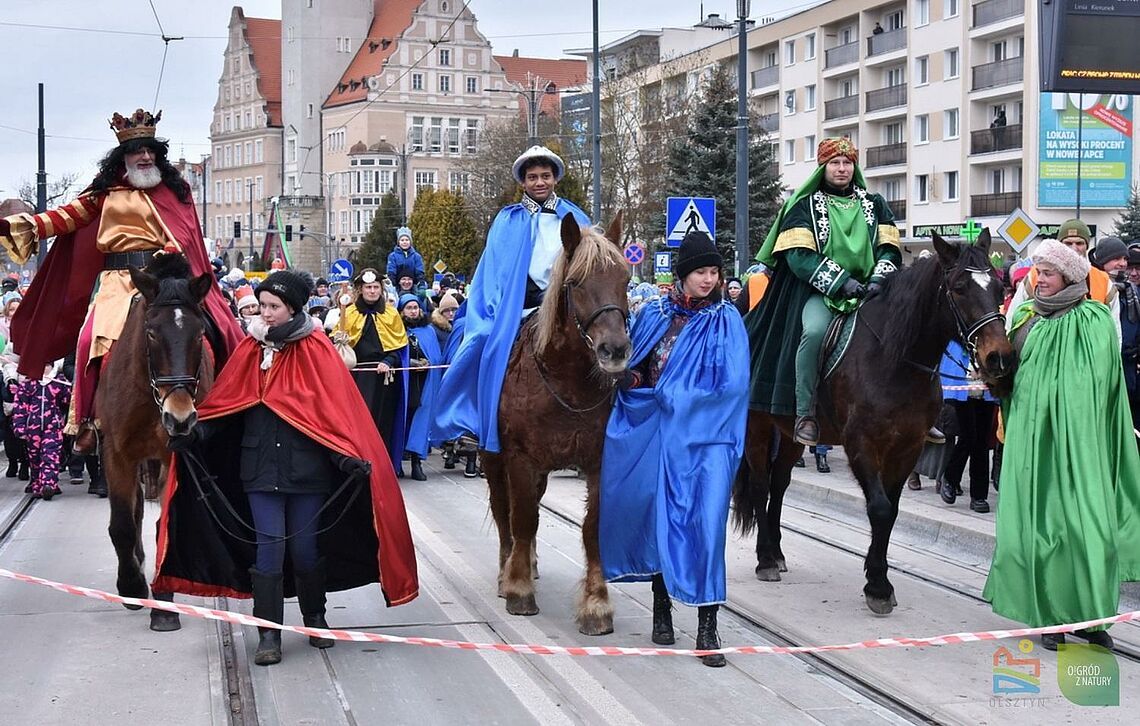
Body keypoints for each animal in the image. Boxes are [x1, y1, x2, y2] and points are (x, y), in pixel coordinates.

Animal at [96, 251, 216, 633]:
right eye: (150, 332)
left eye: (200, 333)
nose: (180, 417)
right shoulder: (115, 453)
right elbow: (121, 524)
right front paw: (132, 586)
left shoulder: (171, 455)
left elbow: (165, 523)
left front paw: (164, 605)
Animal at [476, 209, 629, 633]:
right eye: (576, 283)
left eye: (626, 279)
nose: (615, 350)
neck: (567, 382)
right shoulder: (519, 457)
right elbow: (522, 518)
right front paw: (518, 590)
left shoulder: (597, 461)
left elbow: (592, 529)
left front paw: (596, 605)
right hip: (493, 459)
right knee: (505, 510)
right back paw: (508, 570)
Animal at [729, 230, 1016, 610]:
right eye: (958, 288)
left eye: (998, 288)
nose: (999, 358)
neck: (893, 359)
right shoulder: (861, 444)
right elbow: (878, 507)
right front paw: (877, 587)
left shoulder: (907, 447)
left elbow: (891, 511)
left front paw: (878, 578)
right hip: (756, 426)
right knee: (762, 485)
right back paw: (764, 560)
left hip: (790, 433)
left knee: (779, 484)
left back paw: (776, 552)